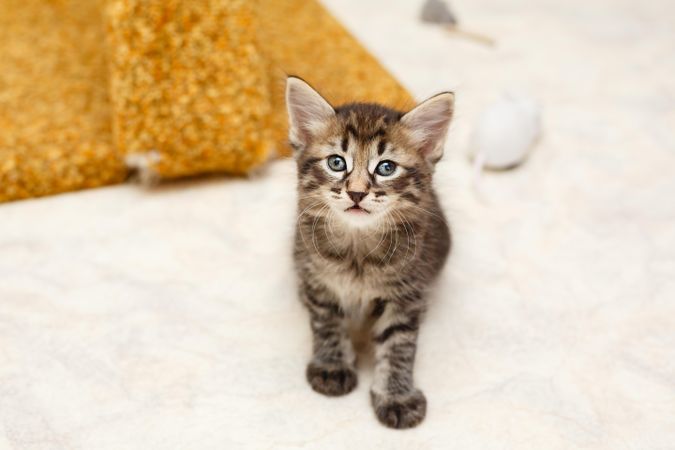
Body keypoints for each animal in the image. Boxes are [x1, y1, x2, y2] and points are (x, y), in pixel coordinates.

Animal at [286, 77, 454, 428]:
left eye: (386, 168)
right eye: (336, 162)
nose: (356, 192)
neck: (357, 250)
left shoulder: (406, 294)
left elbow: (399, 347)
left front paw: (397, 396)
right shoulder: (319, 280)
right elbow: (327, 325)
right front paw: (332, 364)